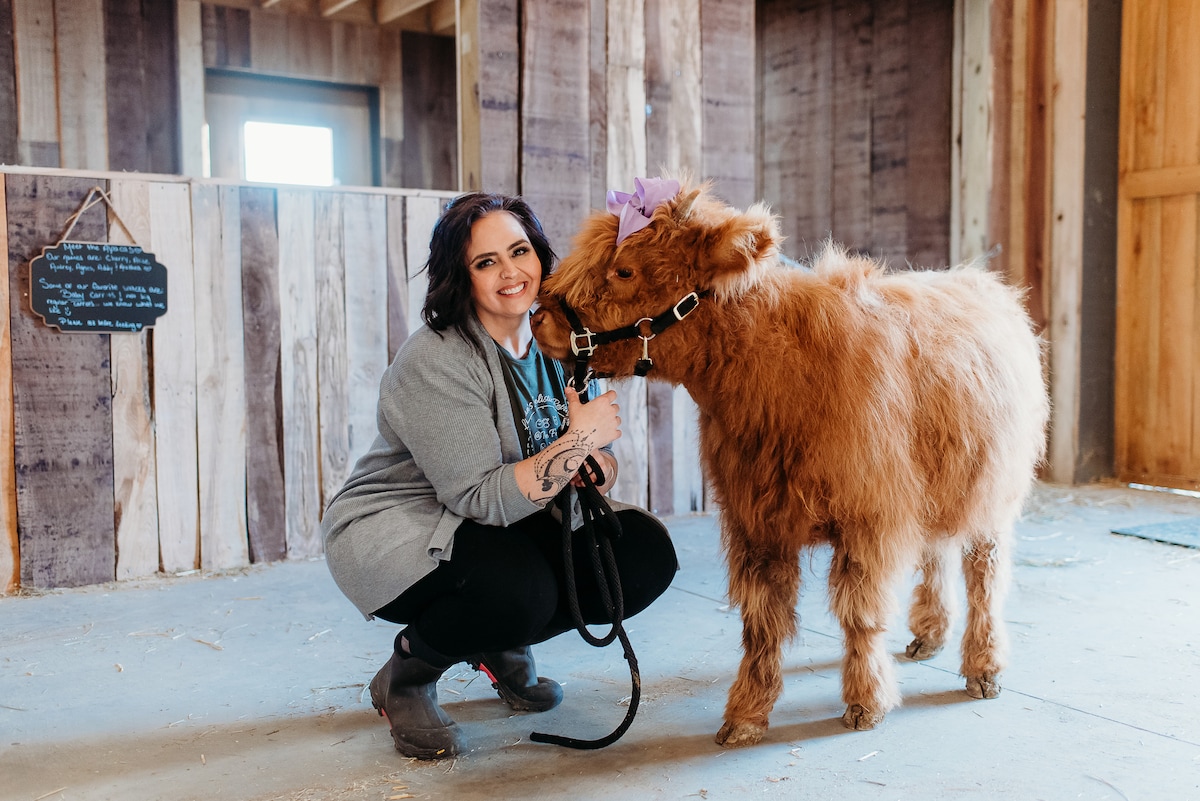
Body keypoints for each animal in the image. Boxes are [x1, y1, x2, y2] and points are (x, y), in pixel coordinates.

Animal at [535, 178, 1051, 748]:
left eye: (624, 270)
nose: (538, 317)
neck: (776, 379)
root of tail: (982, 282)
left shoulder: (869, 518)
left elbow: (859, 613)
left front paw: (865, 701)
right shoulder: (756, 521)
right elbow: (763, 618)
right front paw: (746, 713)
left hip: (993, 492)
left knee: (985, 572)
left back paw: (983, 667)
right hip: (937, 485)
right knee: (937, 552)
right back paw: (929, 636)